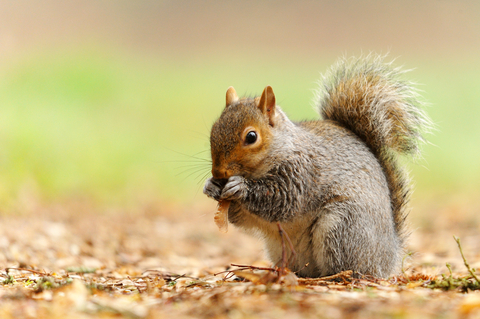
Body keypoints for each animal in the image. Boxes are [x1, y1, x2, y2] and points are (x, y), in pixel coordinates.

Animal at [202, 56, 432, 278]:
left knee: (351, 267)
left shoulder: (302, 174)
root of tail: (390, 256)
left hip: (343, 227)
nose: (218, 173)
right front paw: (211, 186)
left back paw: (336, 276)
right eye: (213, 130)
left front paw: (240, 187)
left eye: (251, 136)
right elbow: (239, 218)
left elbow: (281, 200)